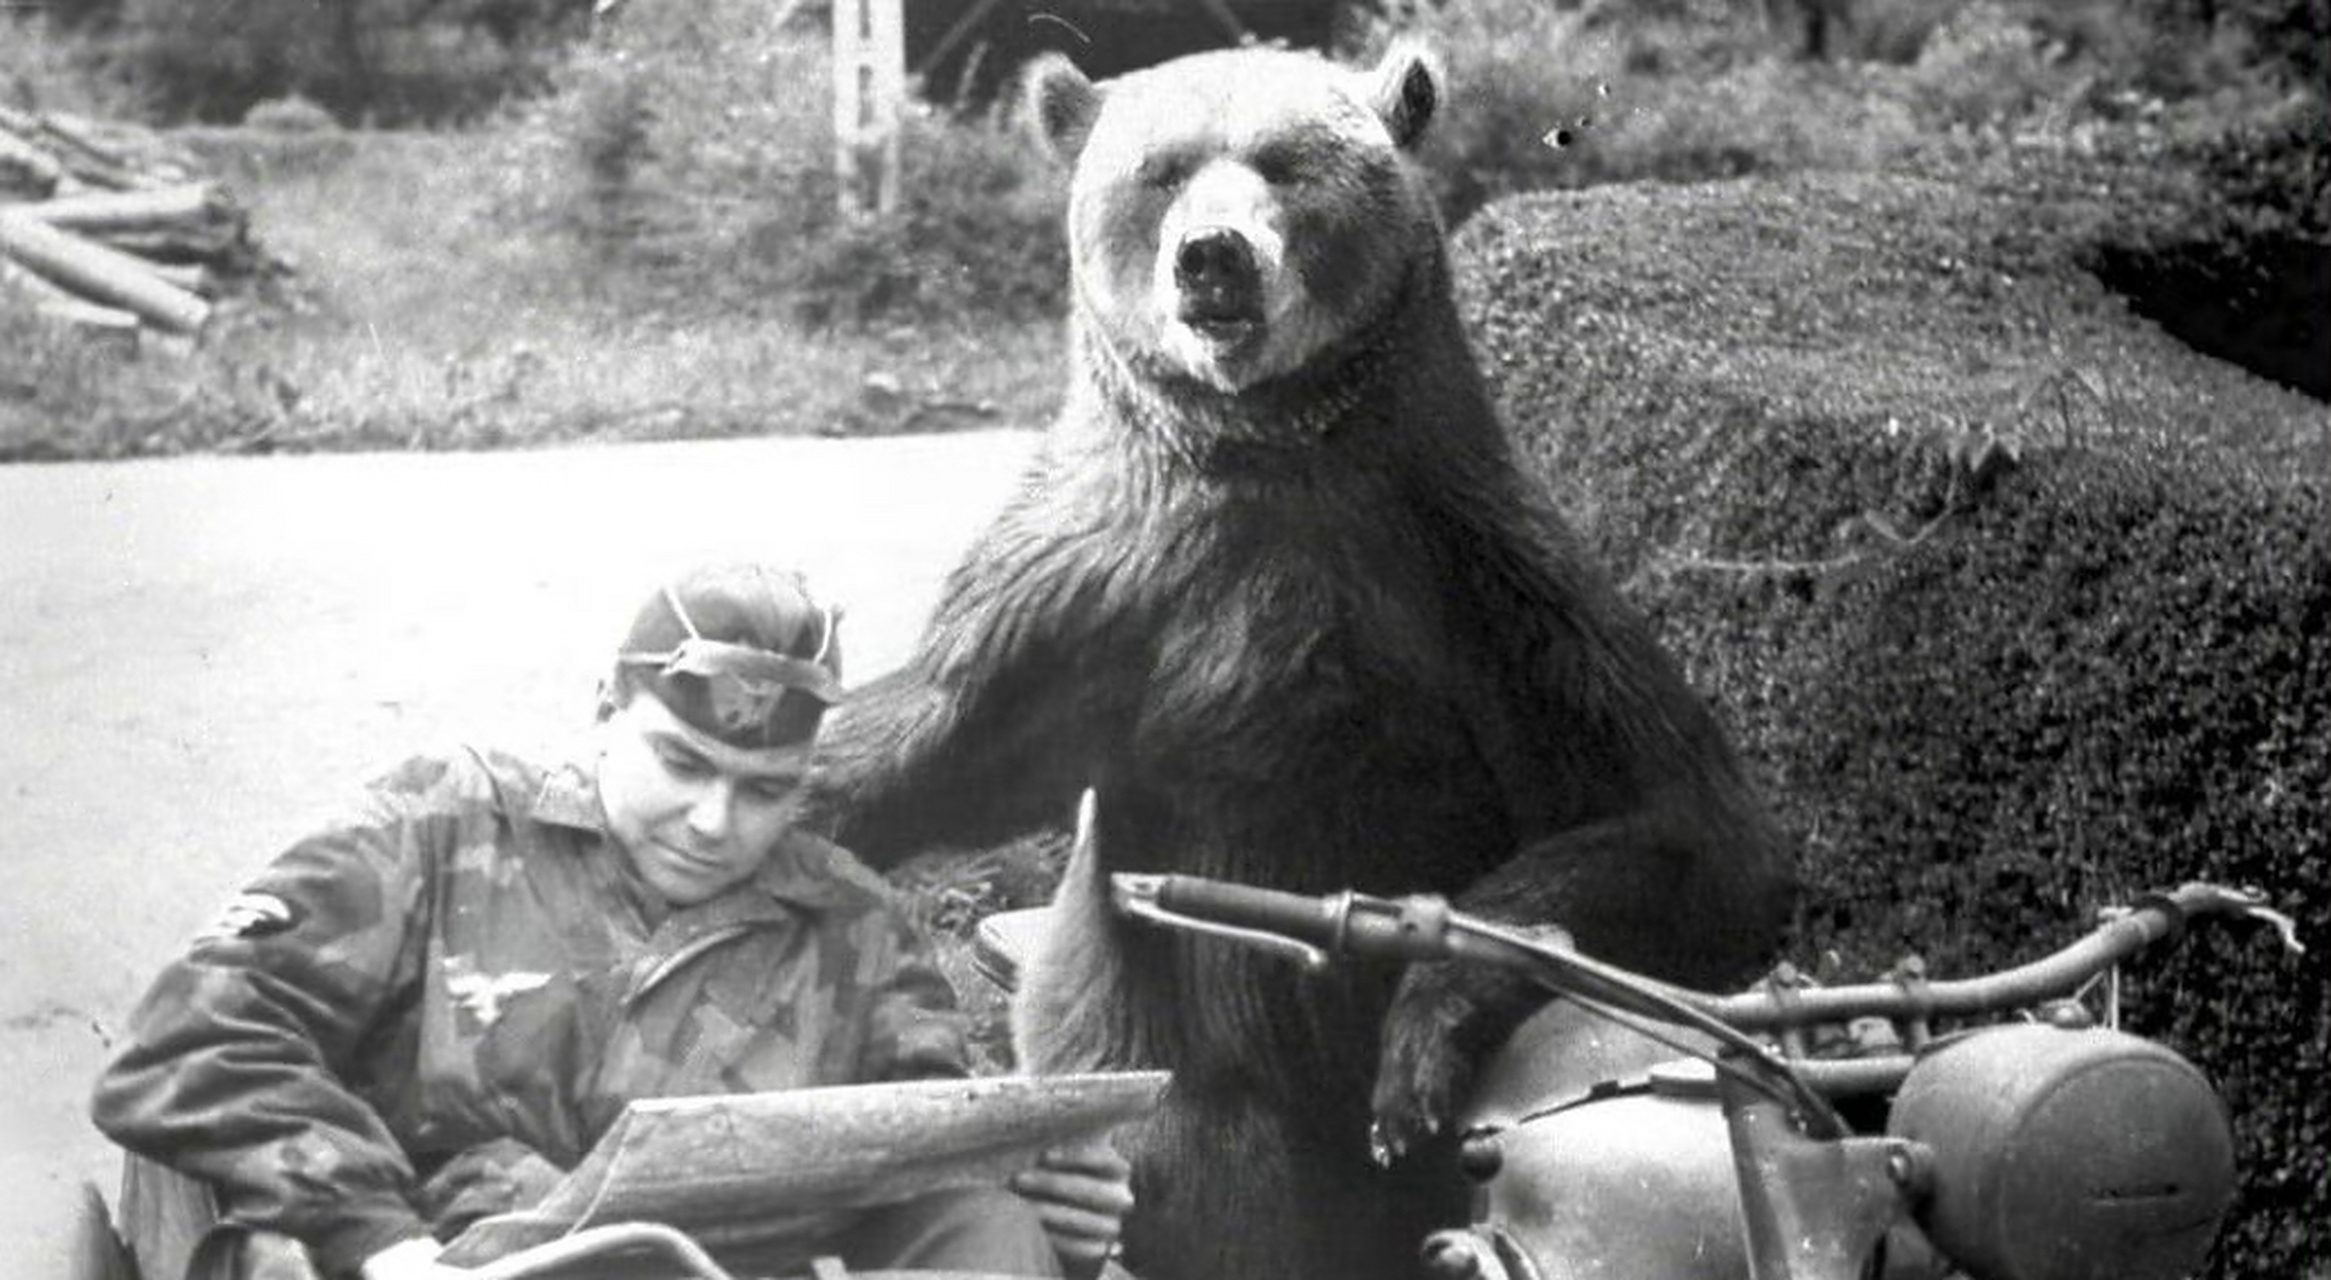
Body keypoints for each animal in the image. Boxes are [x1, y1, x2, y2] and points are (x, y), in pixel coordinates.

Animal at [811, 41, 1796, 1280]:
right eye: (1160, 168)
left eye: (1284, 163)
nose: (1212, 255)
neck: (1271, 450)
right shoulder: (1082, 600)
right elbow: (921, 738)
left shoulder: (1485, 583)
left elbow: (1691, 829)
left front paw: (1420, 1037)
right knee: (1215, 1157)